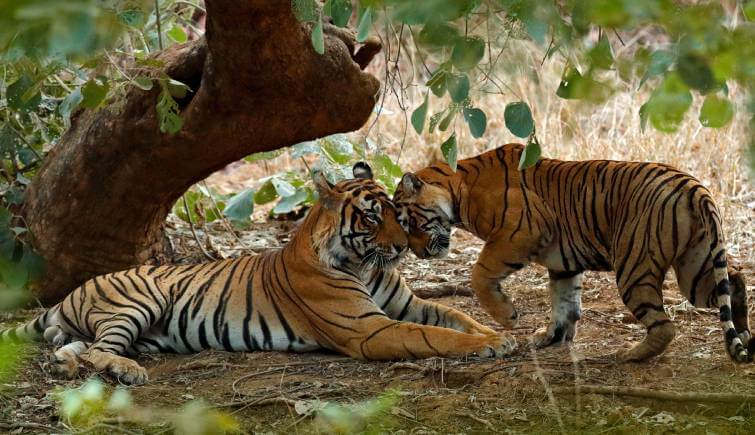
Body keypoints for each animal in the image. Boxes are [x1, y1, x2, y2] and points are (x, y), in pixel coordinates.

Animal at [0, 162, 516, 384]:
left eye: (396, 212)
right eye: (372, 218)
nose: (402, 248)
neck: (365, 265)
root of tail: (72, 293)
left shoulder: (411, 304)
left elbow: (457, 316)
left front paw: (500, 334)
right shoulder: (369, 329)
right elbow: (436, 336)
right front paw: (490, 345)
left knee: (77, 347)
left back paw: (66, 363)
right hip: (137, 301)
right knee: (99, 351)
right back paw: (126, 372)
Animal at [393, 144, 752, 363]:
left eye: (408, 222)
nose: (417, 253)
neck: (459, 188)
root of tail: (694, 187)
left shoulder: (519, 233)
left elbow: (480, 273)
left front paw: (508, 316)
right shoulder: (562, 262)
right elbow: (563, 302)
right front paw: (551, 337)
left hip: (634, 267)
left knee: (665, 326)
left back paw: (630, 354)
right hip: (696, 265)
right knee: (734, 276)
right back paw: (745, 335)